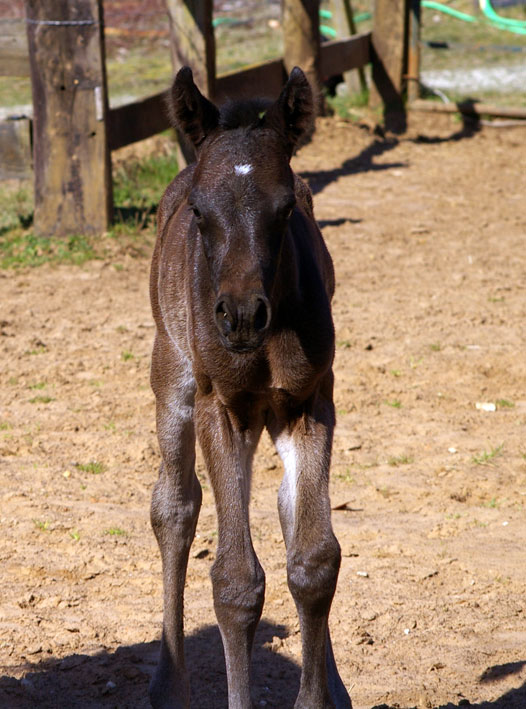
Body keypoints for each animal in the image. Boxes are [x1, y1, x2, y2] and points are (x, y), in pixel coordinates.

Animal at [148, 65, 352, 708]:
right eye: (199, 212)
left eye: (286, 210)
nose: (240, 316)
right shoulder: (221, 408)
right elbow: (235, 582)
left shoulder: (311, 402)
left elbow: (314, 559)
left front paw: (318, 697)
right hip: (172, 377)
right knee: (174, 506)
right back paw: (168, 687)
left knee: (290, 510)